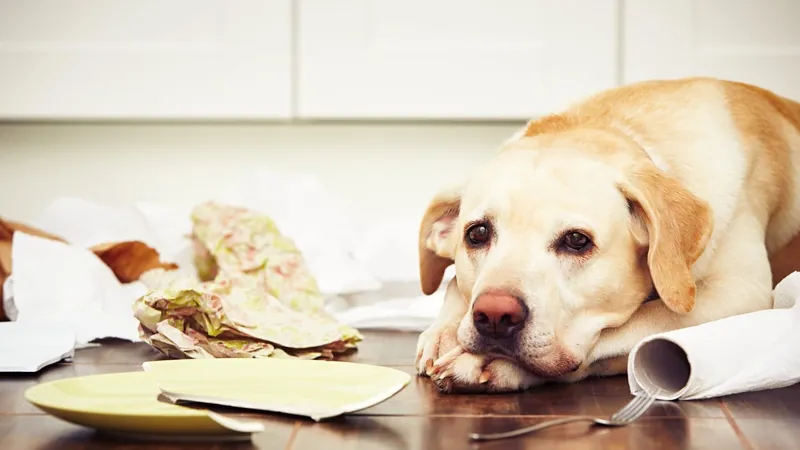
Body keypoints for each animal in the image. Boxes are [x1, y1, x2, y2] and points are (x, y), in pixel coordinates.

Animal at [416, 77, 800, 394]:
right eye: (477, 233)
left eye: (576, 240)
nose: (495, 315)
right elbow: (454, 285)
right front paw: (444, 331)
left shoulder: (741, 291)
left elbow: (638, 324)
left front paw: (483, 362)